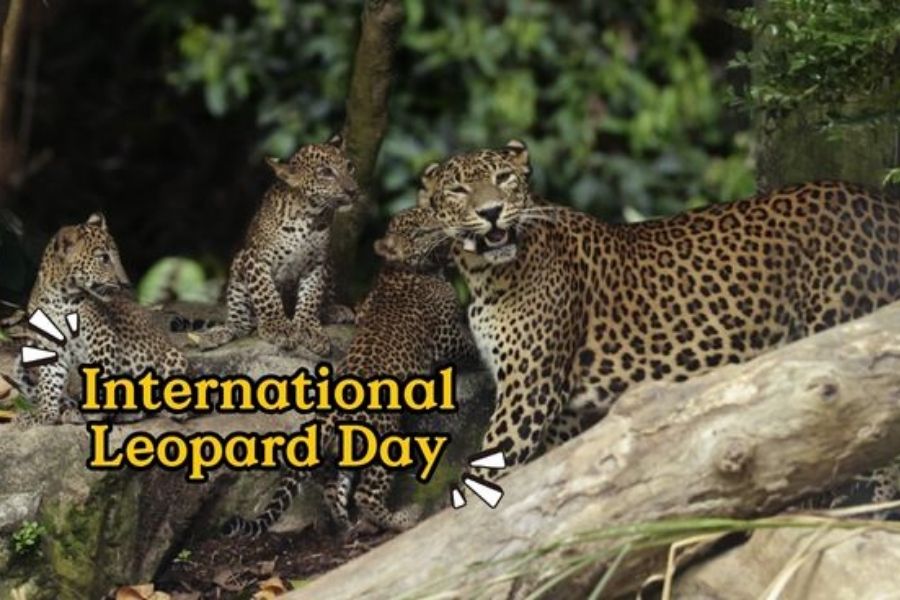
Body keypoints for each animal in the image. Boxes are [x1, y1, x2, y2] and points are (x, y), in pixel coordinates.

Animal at [4, 213, 188, 425]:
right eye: (103, 258)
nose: (126, 284)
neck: (59, 296)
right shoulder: (51, 343)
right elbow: (50, 383)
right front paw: (45, 414)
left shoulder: (102, 338)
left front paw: (93, 413)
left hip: (172, 358)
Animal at [193, 133, 358, 356]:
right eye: (326, 173)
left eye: (350, 167)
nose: (353, 191)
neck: (310, 217)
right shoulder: (256, 258)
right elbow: (267, 295)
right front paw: (279, 328)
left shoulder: (317, 262)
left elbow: (311, 296)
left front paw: (308, 328)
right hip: (238, 265)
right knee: (240, 324)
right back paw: (215, 335)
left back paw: (334, 310)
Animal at [223, 206, 478, 538]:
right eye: (423, 230)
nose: (447, 227)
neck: (399, 269)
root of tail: (328, 418)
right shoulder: (448, 335)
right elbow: (468, 345)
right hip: (383, 439)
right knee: (365, 494)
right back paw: (402, 519)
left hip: (338, 457)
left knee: (335, 492)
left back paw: (350, 528)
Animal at [413, 139, 900, 483]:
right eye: (458, 189)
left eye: (504, 178)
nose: (491, 211)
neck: (485, 274)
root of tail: (880, 201)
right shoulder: (560, 412)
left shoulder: (528, 394)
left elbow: (484, 473)